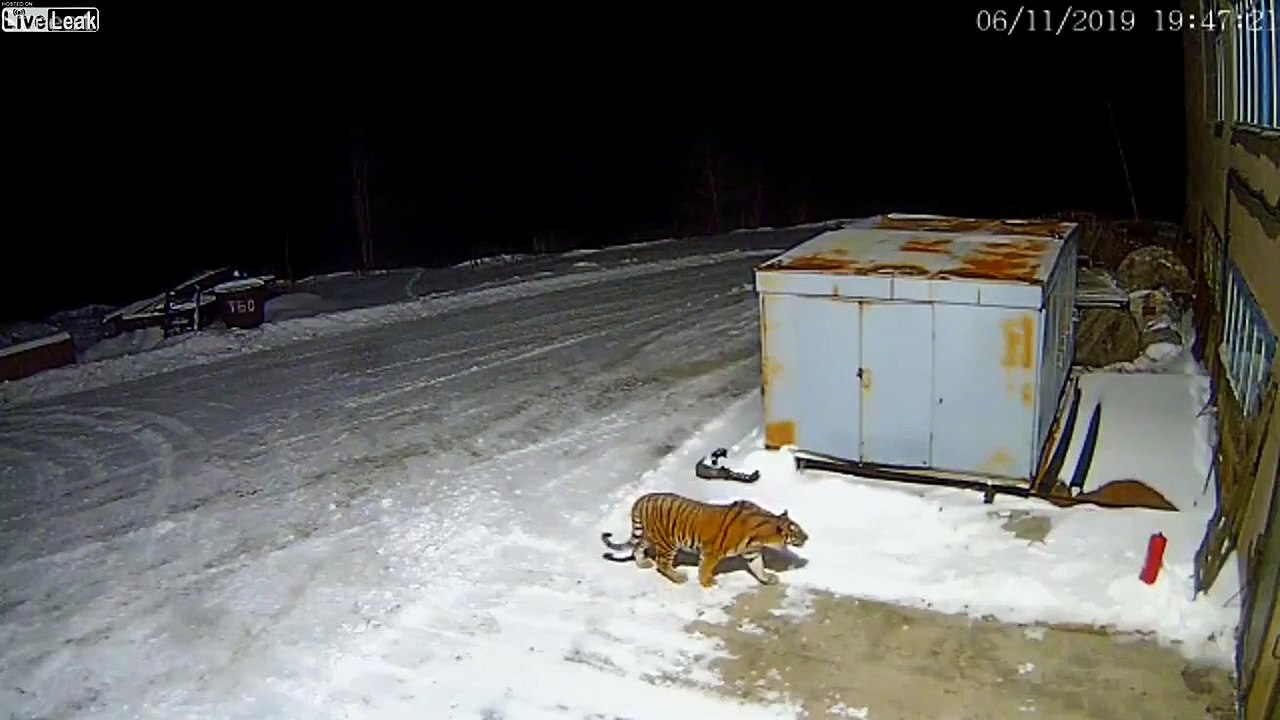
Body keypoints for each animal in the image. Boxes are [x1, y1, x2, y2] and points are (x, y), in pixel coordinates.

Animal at [600, 491, 808, 588]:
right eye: (796, 531)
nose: (808, 537)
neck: (762, 537)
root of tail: (643, 499)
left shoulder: (752, 553)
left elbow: (759, 568)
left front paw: (767, 579)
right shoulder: (712, 551)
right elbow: (705, 567)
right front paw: (707, 582)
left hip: (648, 535)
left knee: (637, 547)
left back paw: (642, 563)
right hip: (667, 542)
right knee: (662, 563)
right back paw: (679, 577)